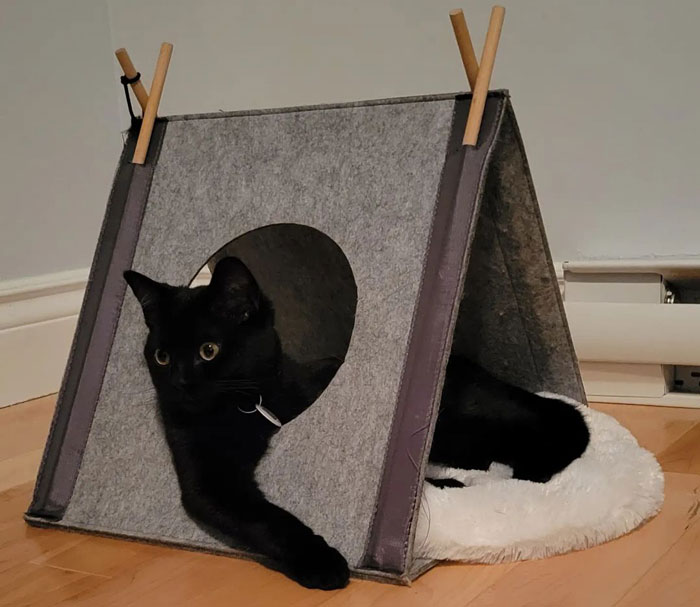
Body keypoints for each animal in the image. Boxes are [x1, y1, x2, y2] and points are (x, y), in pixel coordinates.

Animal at [125, 256, 350, 588]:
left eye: (209, 350)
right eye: (161, 357)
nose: (179, 383)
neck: (241, 408)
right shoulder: (209, 482)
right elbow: (267, 520)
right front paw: (320, 561)